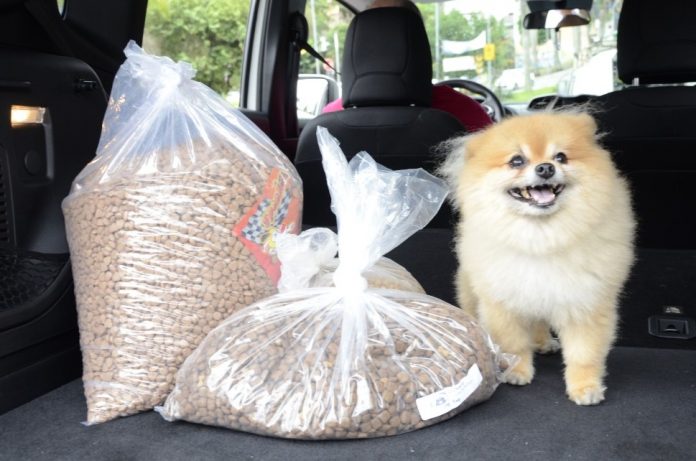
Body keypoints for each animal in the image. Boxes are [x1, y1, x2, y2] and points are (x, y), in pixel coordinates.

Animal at [440, 110, 636, 402]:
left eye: (561, 157)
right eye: (516, 161)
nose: (545, 168)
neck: (541, 238)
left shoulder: (586, 302)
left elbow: (584, 353)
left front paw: (585, 387)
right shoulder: (504, 302)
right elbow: (514, 344)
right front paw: (517, 372)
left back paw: (544, 342)